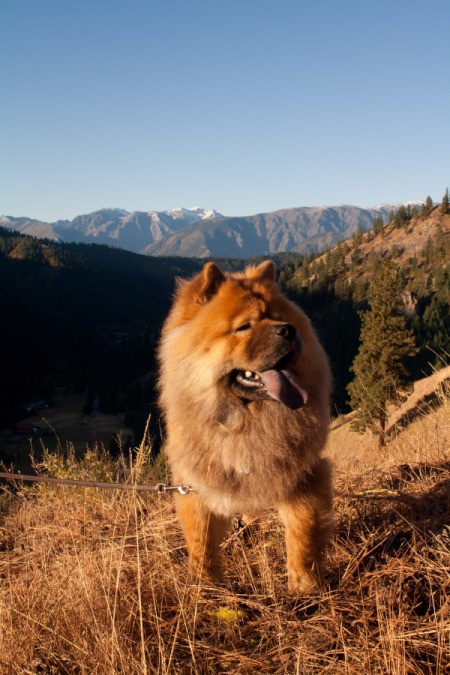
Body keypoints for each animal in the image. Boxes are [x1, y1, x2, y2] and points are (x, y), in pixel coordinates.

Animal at [158, 262, 334, 596]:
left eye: (280, 317)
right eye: (244, 327)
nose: (288, 330)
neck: (244, 422)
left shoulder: (305, 478)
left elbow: (302, 535)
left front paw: (304, 587)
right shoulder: (195, 487)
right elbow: (201, 544)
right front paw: (206, 589)